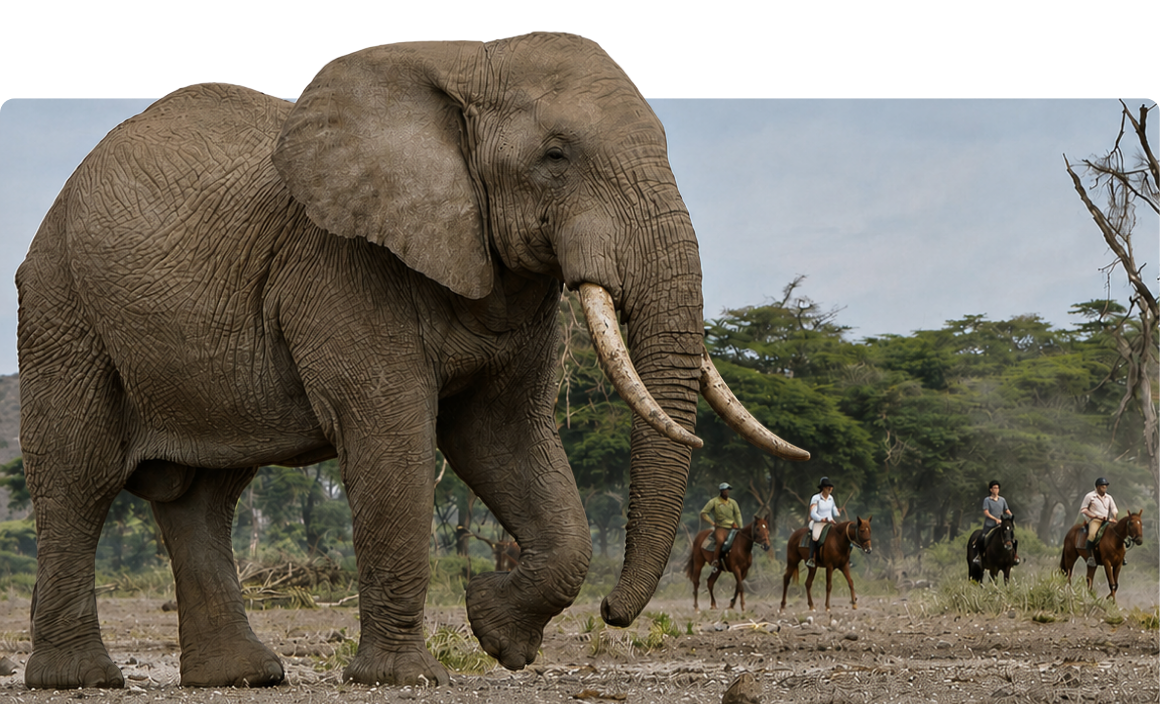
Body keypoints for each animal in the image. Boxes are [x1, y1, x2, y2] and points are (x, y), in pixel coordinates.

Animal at [16, 32, 809, 690]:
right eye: (556, 156)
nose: (614, 614)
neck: (466, 69)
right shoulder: (339, 261)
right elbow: (393, 437)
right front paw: (408, 678)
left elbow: (502, 438)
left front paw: (499, 637)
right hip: (62, 305)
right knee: (79, 476)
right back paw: (81, 681)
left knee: (203, 499)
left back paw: (242, 677)